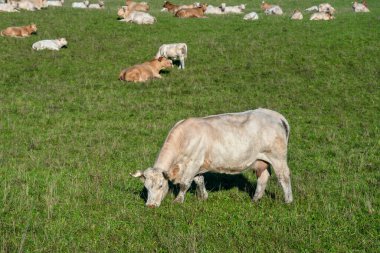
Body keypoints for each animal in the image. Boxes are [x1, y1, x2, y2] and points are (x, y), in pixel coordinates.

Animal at [132, 108, 292, 208]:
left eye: (160, 185)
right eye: (146, 187)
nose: (150, 206)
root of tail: (277, 116)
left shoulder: (193, 163)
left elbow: (185, 183)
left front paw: (178, 201)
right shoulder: (199, 165)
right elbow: (199, 180)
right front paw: (203, 197)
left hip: (278, 157)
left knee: (284, 177)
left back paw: (288, 201)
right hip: (261, 160)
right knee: (263, 177)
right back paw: (255, 199)